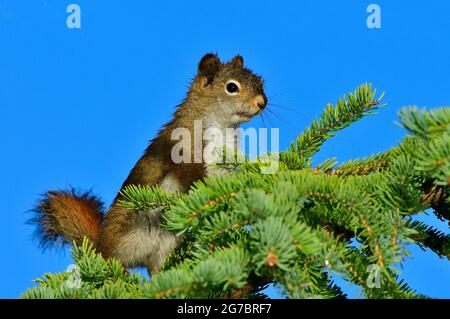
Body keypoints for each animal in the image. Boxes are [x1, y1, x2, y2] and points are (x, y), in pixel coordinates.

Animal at [32, 53, 268, 276]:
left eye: (260, 83)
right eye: (232, 87)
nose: (262, 103)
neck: (222, 127)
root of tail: (98, 247)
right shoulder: (183, 152)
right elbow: (192, 176)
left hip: (167, 246)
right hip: (127, 237)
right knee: (113, 262)